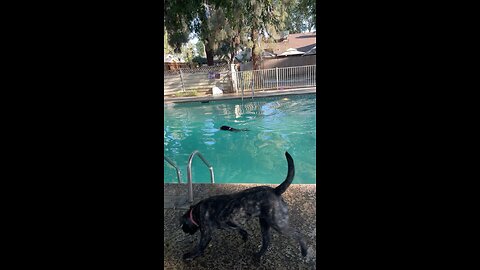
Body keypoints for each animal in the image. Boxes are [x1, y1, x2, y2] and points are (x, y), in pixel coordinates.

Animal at [179, 151, 308, 260]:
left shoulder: (206, 234)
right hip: (264, 224)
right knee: (267, 242)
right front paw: (245, 236)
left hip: (279, 224)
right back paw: (258, 256)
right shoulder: (231, 224)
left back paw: (304, 251)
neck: (196, 212)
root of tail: (275, 190)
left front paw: (190, 255)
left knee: (299, 235)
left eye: (183, 226)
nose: (184, 231)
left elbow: (200, 247)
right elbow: (241, 230)